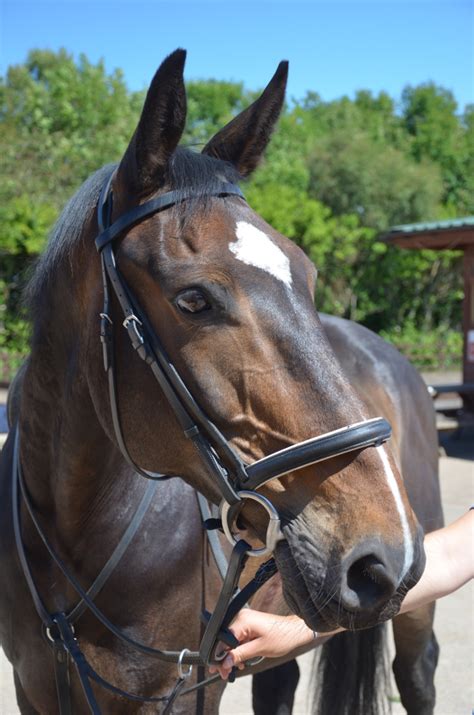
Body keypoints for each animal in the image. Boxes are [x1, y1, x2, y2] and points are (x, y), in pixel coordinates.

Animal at [0, 51, 440, 715]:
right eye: (193, 299)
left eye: (308, 274)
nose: (386, 552)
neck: (73, 530)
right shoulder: (35, 689)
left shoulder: (186, 688)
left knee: (415, 673)